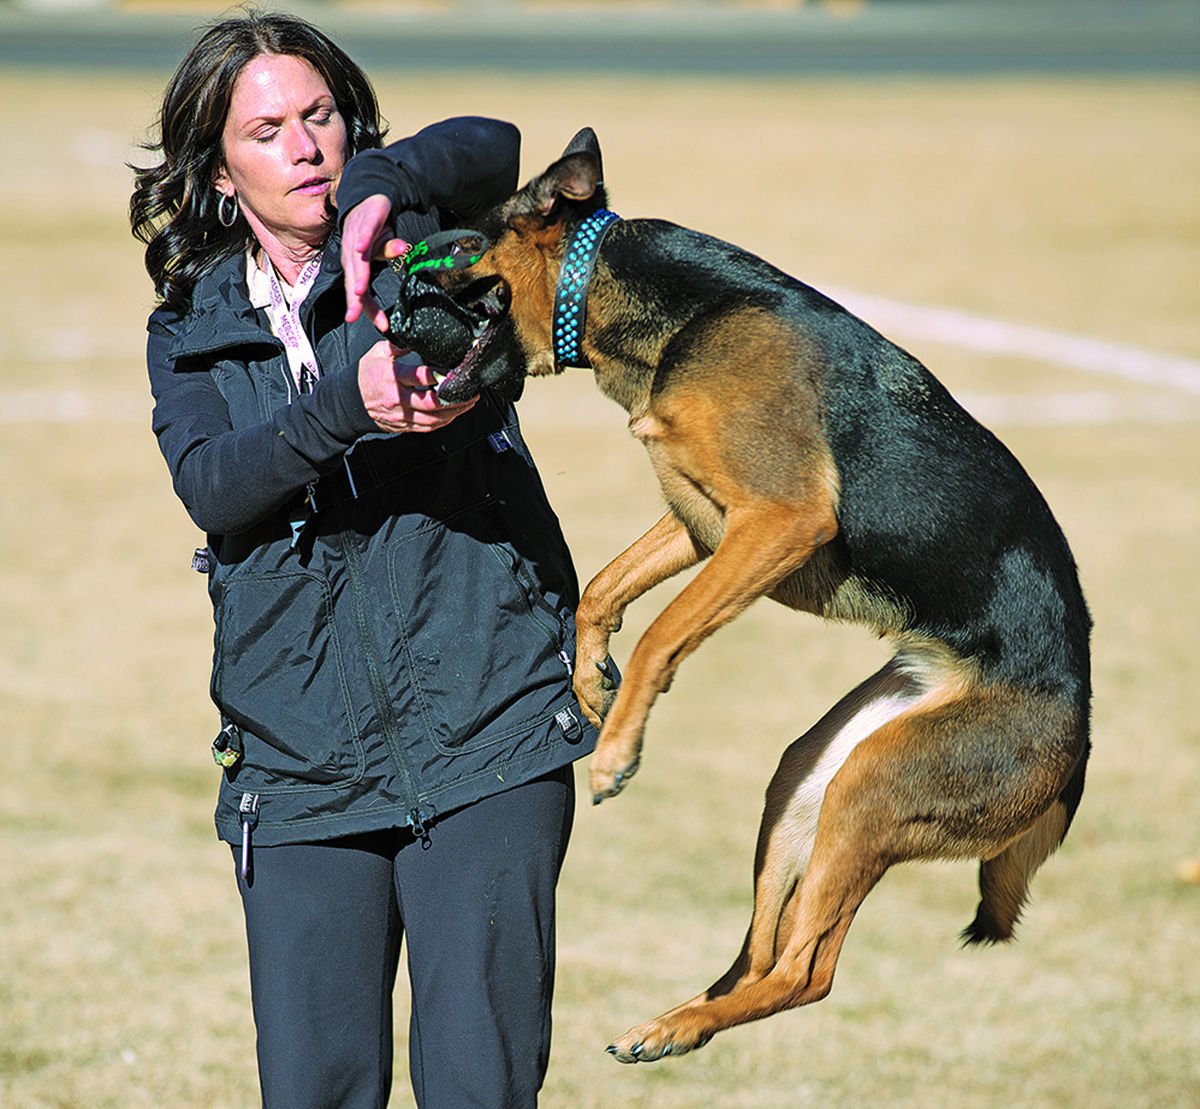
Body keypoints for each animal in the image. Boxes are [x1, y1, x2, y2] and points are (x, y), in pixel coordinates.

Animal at [391, 125, 1089, 1060]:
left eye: (453, 247)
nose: (387, 300)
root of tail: (1079, 732)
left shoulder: (780, 522)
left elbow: (662, 632)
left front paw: (615, 750)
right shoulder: (708, 521)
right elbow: (602, 590)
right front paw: (589, 678)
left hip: (870, 785)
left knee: (806, 972)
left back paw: (684, 1021)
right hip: (812, 776)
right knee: (763, 954)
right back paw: (676, 1023)